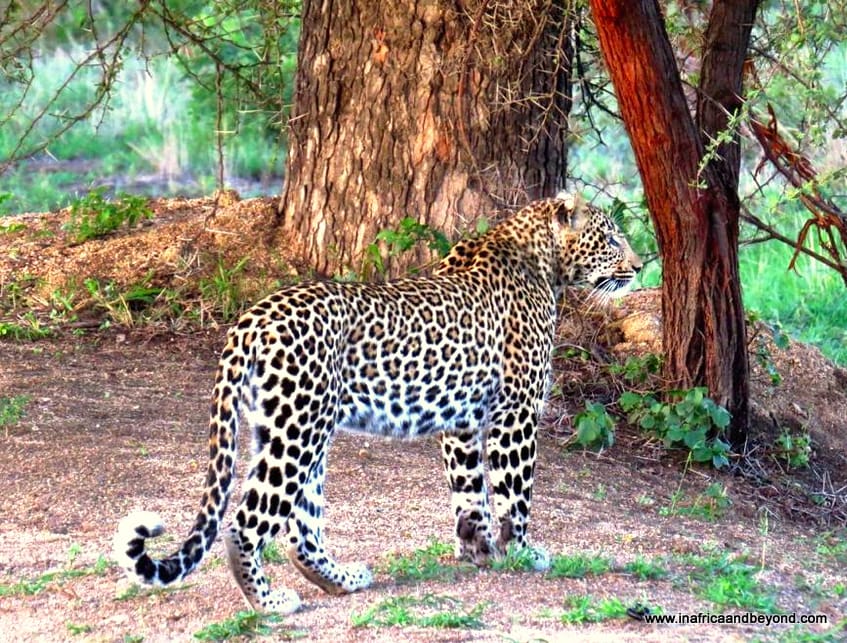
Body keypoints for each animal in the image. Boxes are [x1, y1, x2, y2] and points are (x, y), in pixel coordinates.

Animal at [113, 194, 642, 614]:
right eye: (611, 238)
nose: (638, 267)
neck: (544, 263)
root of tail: (251, 319)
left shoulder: (462, 422)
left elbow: (470, 492)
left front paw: (479, 550)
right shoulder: (516, 411)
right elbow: (516, 493)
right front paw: (523, 552)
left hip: (291, 430)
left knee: (302, 531)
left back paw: (344, 580)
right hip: (298, 432)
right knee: (245, 523)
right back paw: (268, 603)